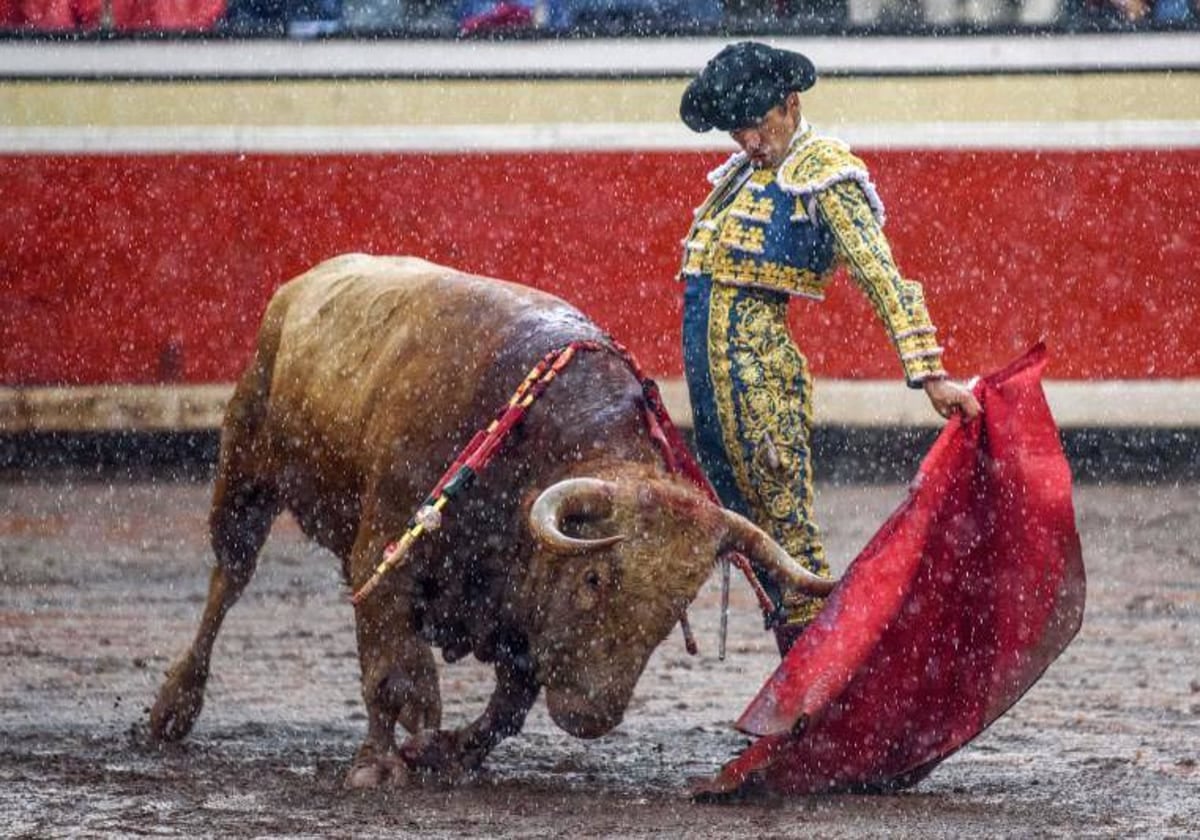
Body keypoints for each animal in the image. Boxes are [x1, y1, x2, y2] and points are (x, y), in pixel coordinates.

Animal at [147, 255, 835, 787]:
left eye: (673, 612)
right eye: (593, 581)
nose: (593, 716)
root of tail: (301, 284)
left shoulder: (519, 609)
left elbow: (507, 704)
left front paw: (444, 753)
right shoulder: (384, 557)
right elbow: (392, 674)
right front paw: (381, 765)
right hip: (244, 474)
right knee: (228, 580)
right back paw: (174, 707)